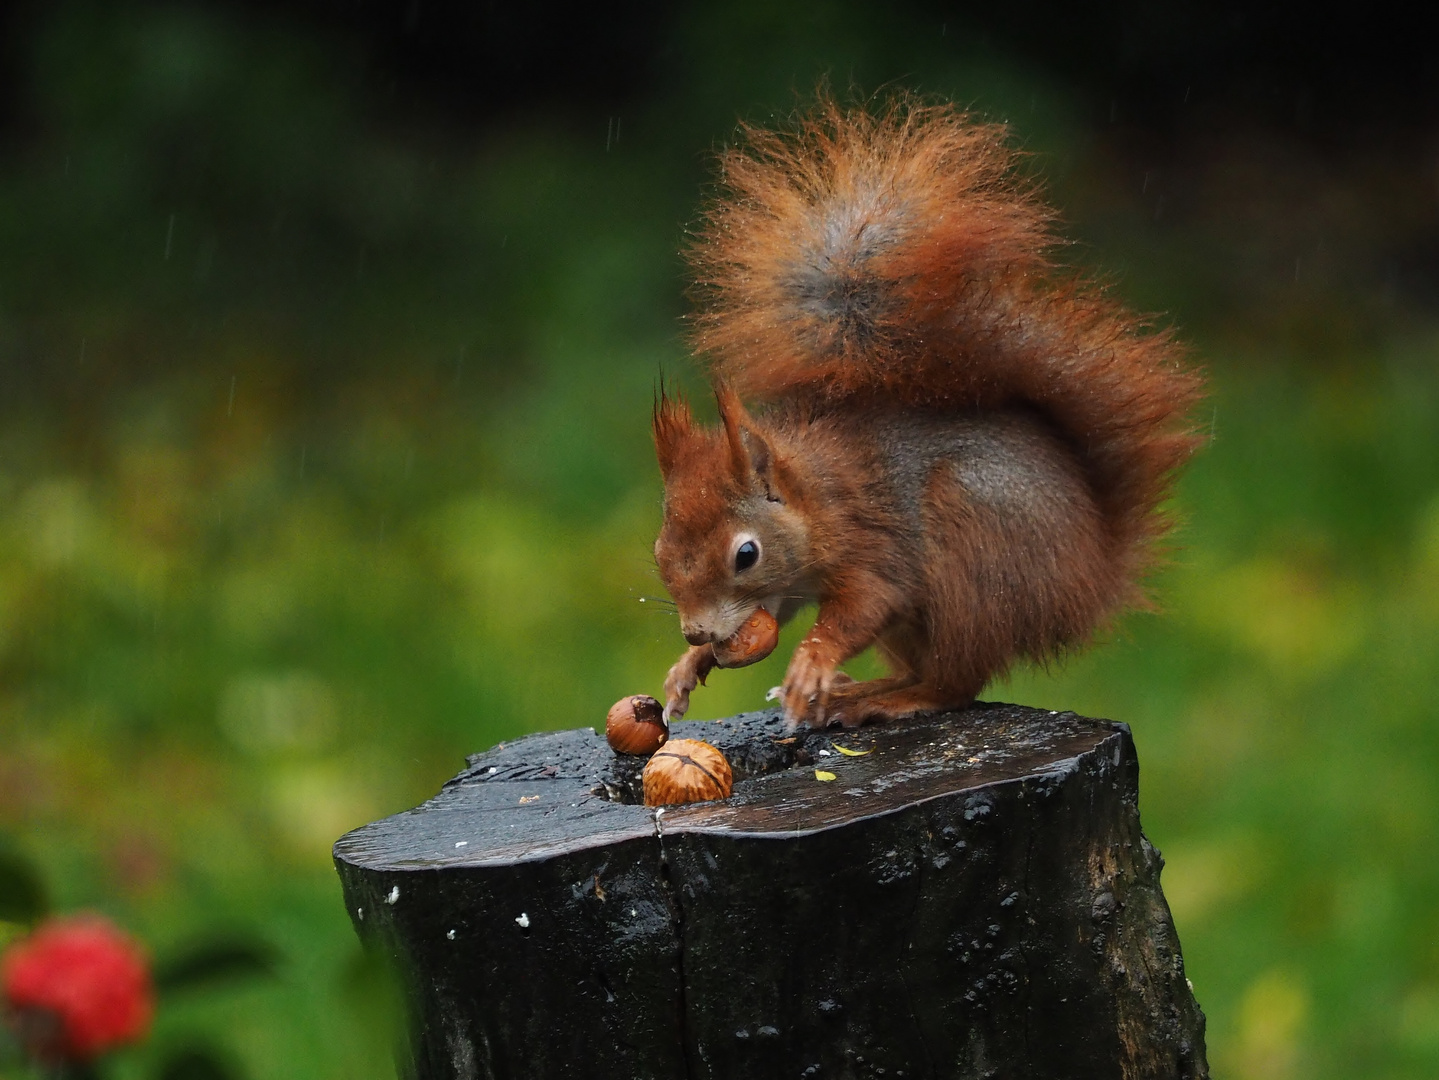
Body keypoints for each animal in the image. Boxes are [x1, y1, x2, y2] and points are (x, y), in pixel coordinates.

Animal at [653, 97, 1203, 730]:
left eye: (746, 554)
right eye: (659, 551)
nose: (697, 631)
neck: (814, 494)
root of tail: (1092, 579)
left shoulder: (871, 543)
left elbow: (867, 602)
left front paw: (810, 660)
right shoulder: (786, 587)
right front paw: (687, 667)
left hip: (974, 553)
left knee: (954, 683)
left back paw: (884, 698)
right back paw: (860, 690)